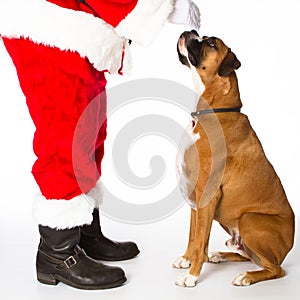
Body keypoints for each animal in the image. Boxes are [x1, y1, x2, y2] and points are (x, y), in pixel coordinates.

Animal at [173, 29, 296, 286]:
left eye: (210, 42)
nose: (191, 31)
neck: (212, 110)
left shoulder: (207, 195)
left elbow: (200, 240)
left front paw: (191, 276)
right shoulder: (195, 198)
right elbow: (194, 234)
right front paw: (187, 260)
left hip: (249, 220)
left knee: (275, 269)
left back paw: (246, 276)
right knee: (249, 255)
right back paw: (220, 255)